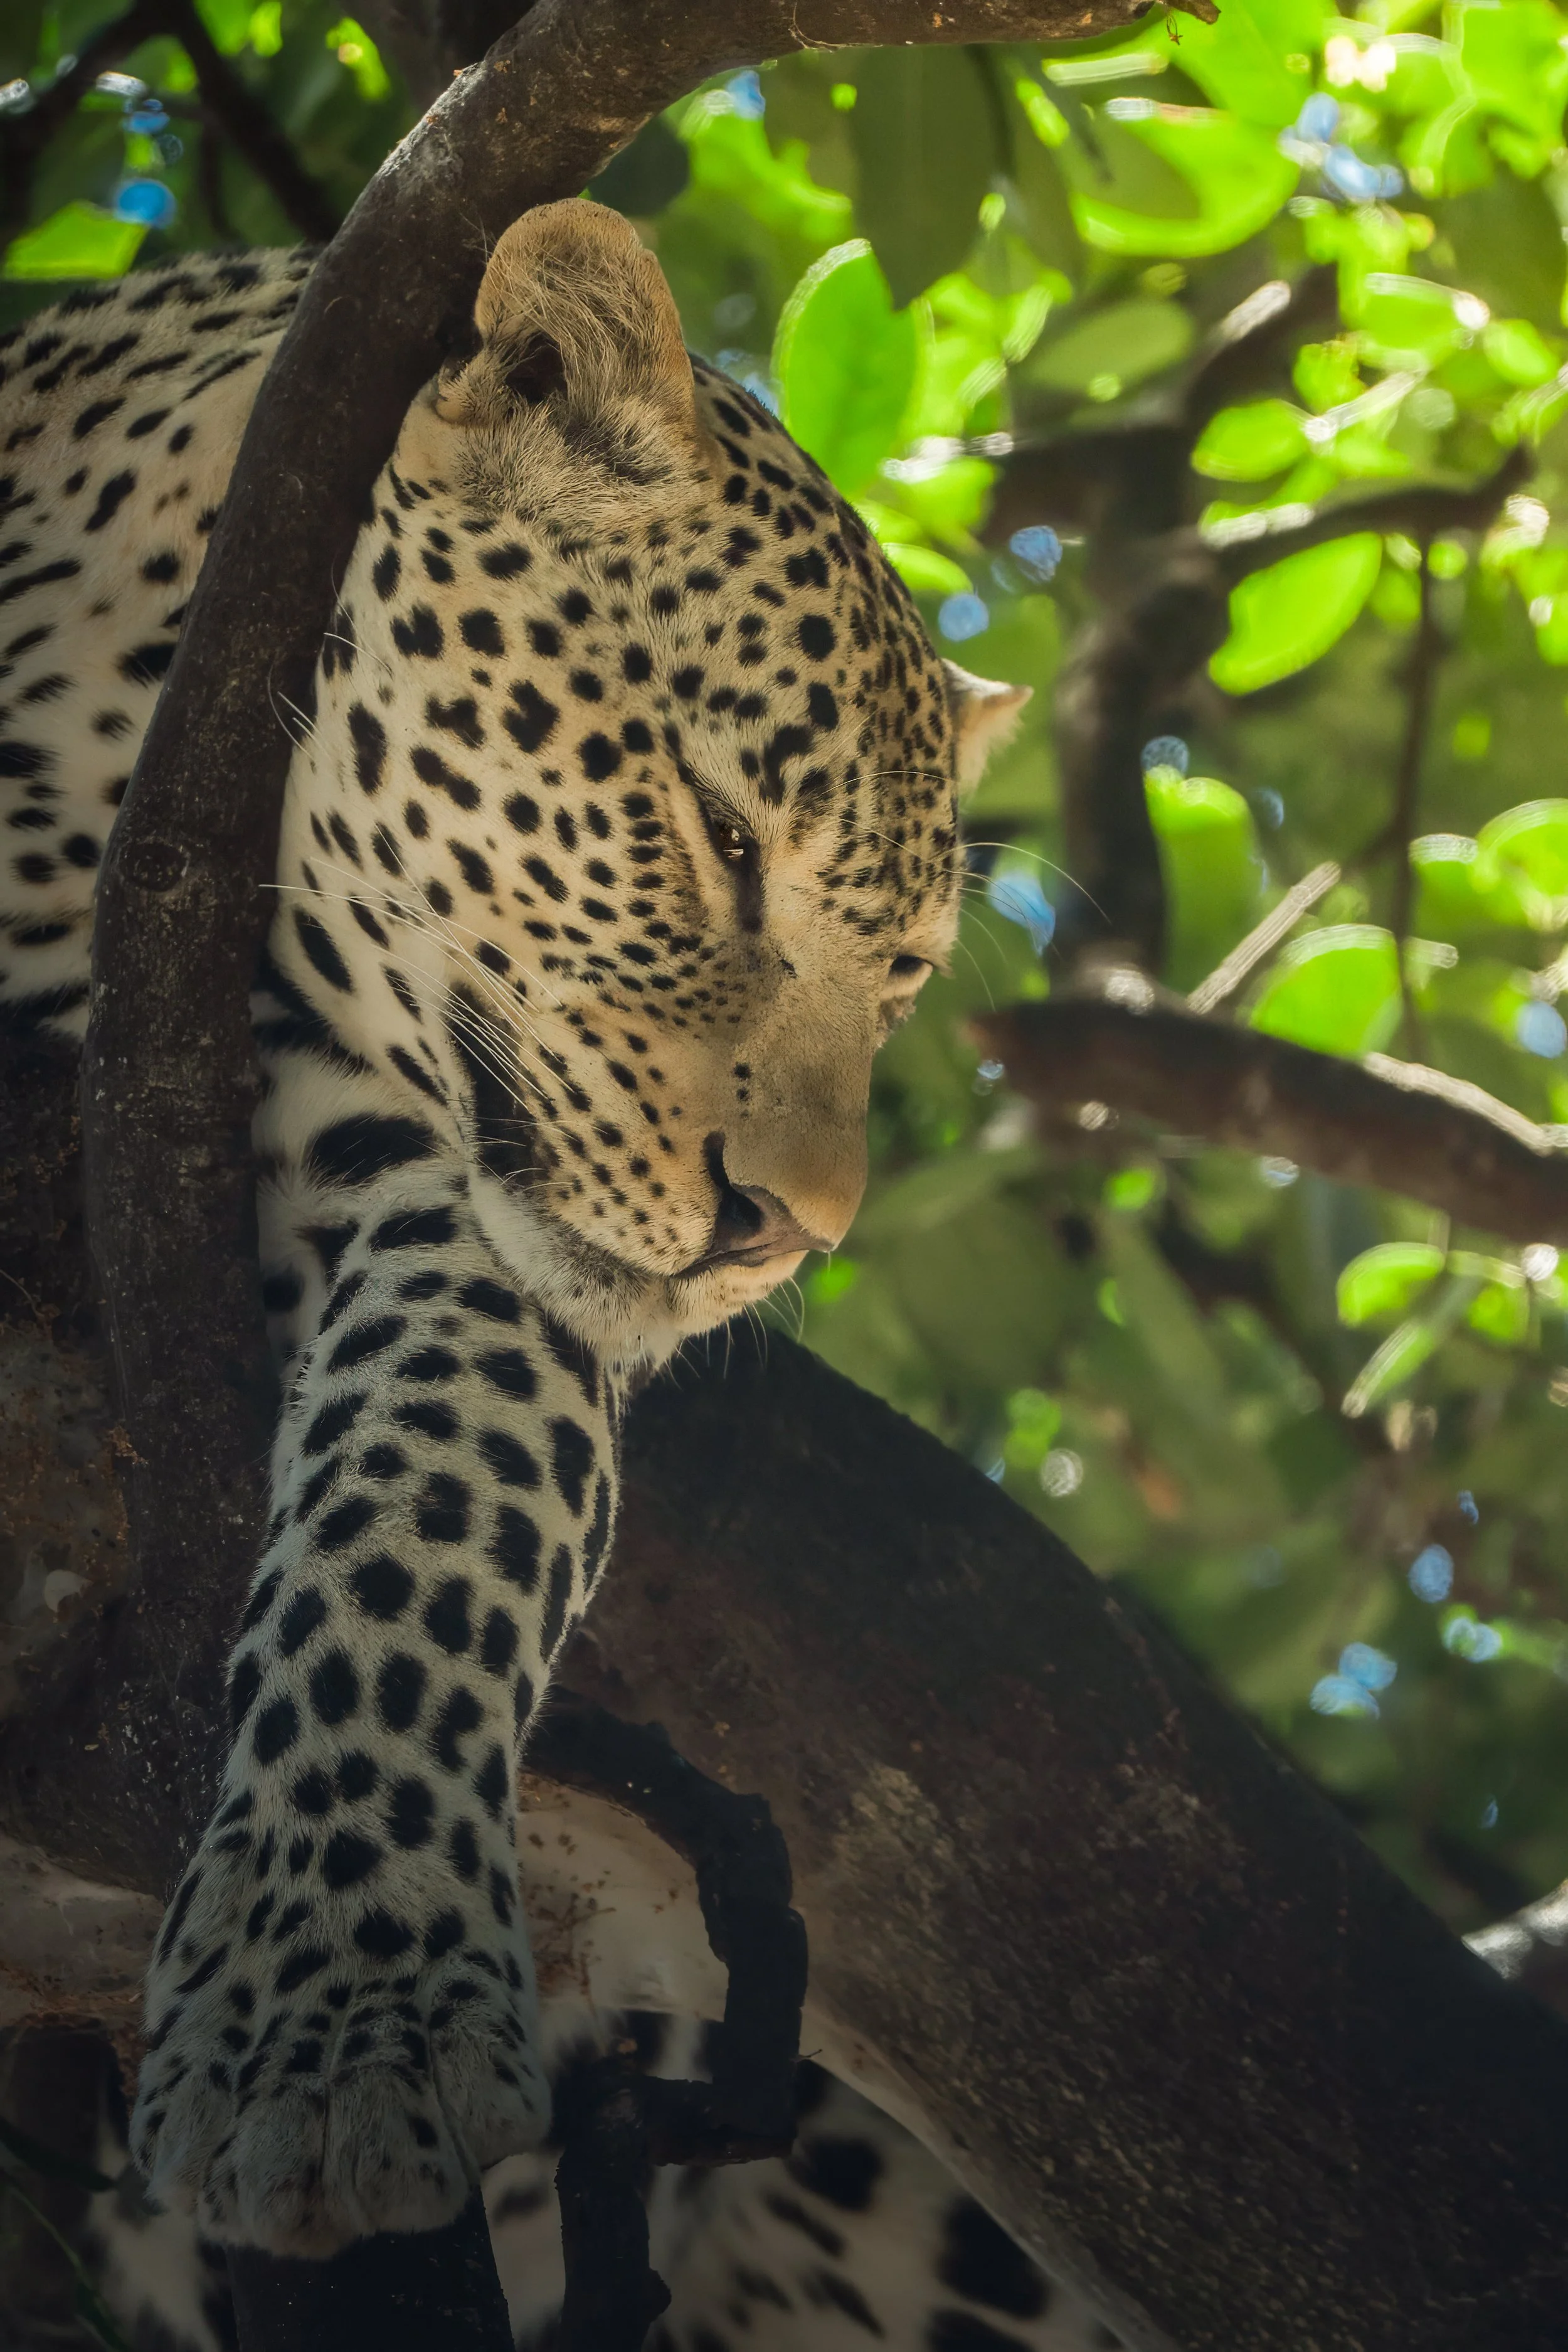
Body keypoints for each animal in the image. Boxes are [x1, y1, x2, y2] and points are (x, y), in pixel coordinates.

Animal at [0, 196, 1068, 2342]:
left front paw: (339, 2016)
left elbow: (436, 1512)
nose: (787, 1230)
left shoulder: (399, 1172)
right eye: (722, 837)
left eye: (905, 974)